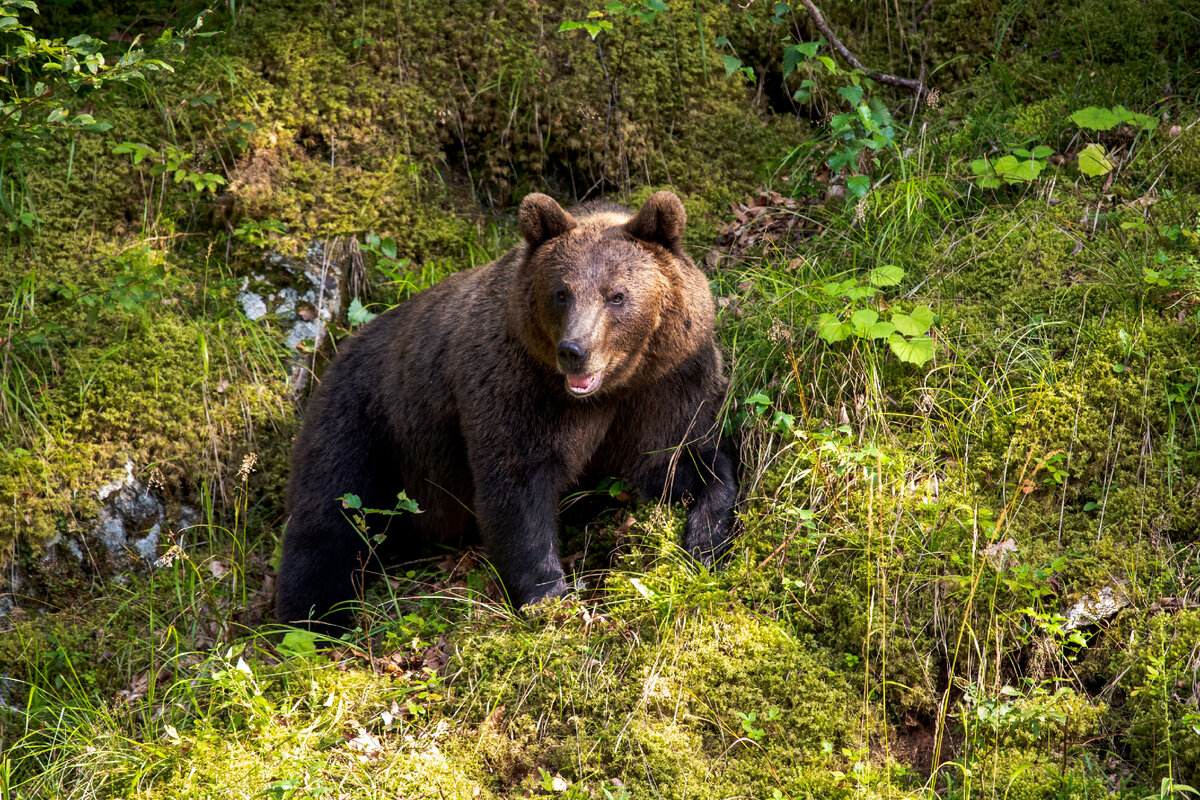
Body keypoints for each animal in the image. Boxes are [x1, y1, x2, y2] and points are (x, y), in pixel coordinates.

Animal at [276, 190, 734, 628]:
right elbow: (517, 486)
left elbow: (678, 462)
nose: (574, 351)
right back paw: (314, 621)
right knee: (329, 515)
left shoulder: (665, 386)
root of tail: (341, 350)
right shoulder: (519, 387)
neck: (610, 389)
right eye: (561, 293)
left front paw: (705, 541)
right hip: (365, 419)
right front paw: (549, 596)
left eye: (616, 296)